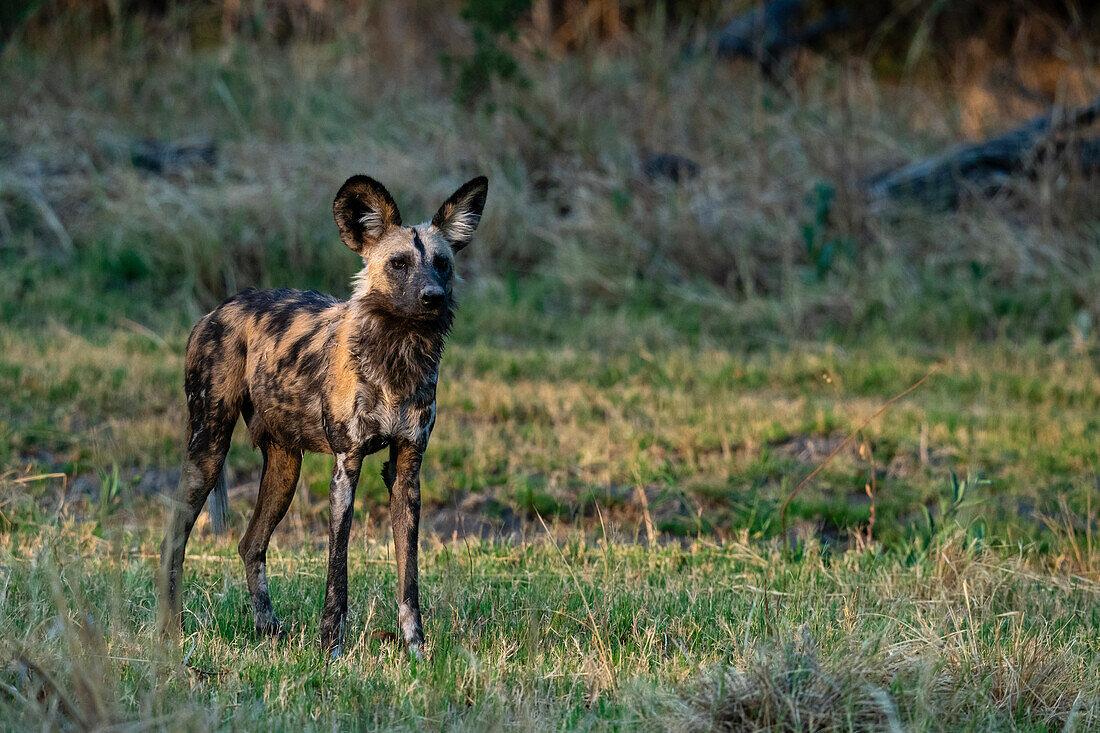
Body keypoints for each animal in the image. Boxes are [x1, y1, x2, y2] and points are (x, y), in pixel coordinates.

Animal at [158, 172, 486, 655]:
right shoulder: (346, 467)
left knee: (250, 544)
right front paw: (331, 646)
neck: (398, 356)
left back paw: (268, 629)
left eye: (442, 263)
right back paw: (170, 632)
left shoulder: (407, 470)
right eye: (399, 263)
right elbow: (338, 570)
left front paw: (415, 649)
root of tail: (216, 310)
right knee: (174, 540)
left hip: (284, 469)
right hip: (208, 451)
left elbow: (409, 577)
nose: (434, 298)